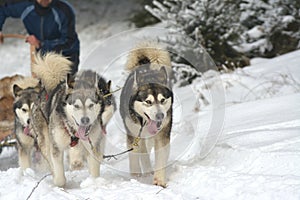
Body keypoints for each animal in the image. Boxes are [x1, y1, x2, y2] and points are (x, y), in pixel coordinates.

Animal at [120, 42, 173, 188]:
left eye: (162, 100)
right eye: (148, 102)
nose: (160, 116)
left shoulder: (162, 135)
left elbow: (161, 156)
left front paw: (159, 180)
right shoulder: (132, 134)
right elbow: (135, 154)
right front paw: (136, 176)